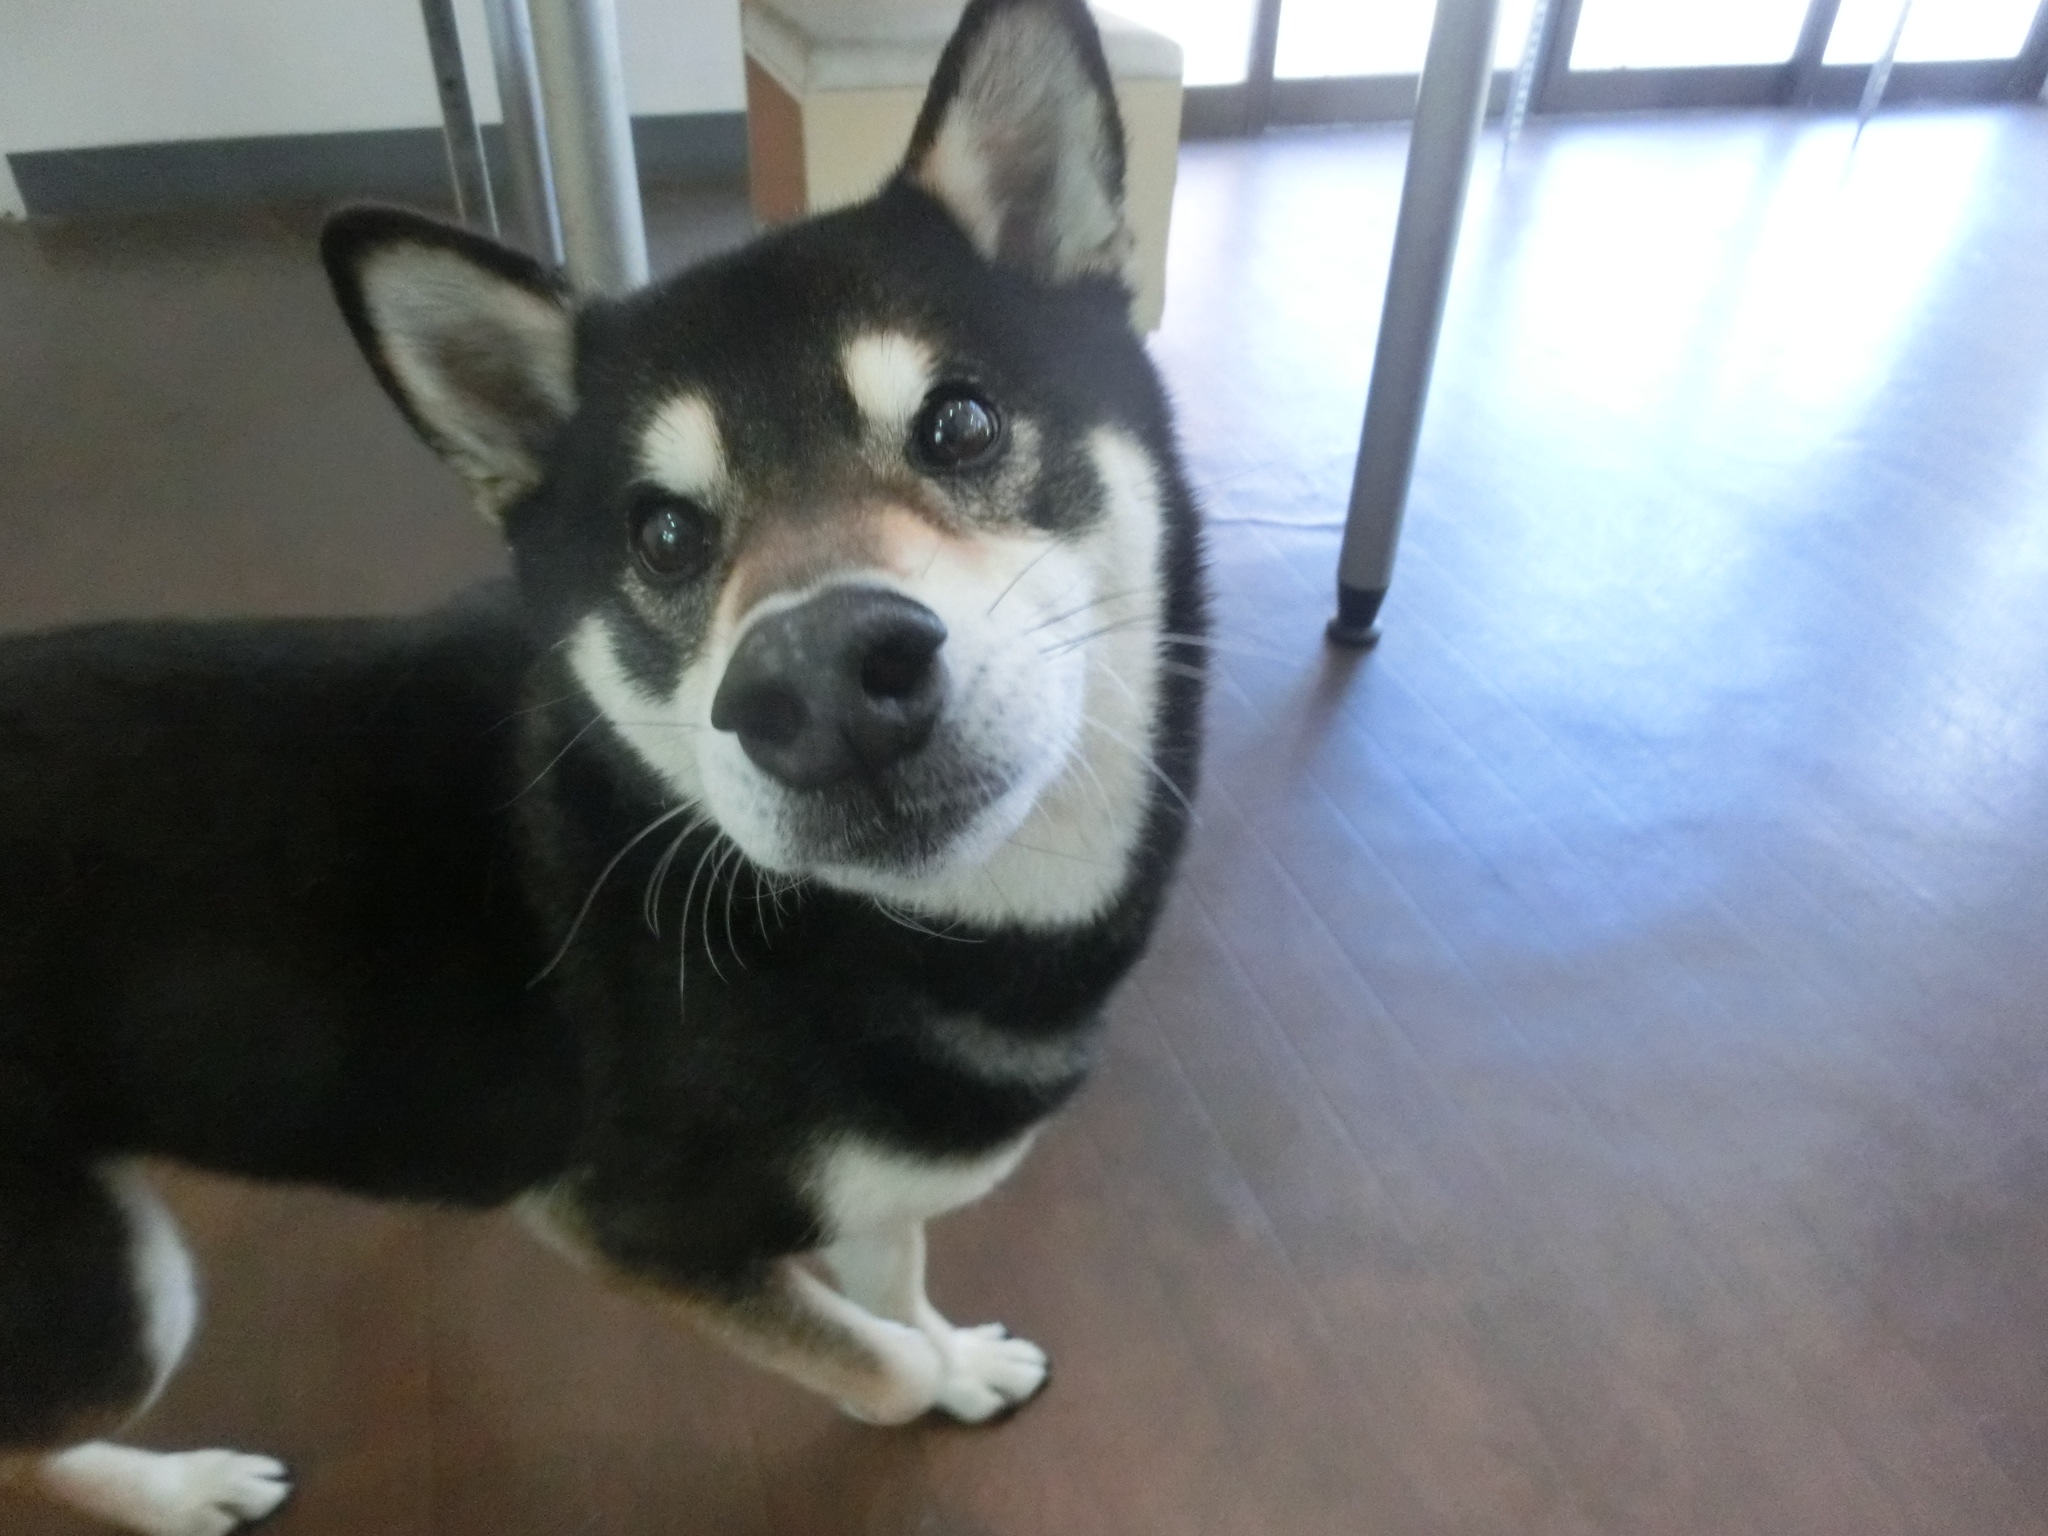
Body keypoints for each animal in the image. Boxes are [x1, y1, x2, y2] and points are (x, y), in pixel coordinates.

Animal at [0, 1, 1204, 1530]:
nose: (819, 682)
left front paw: (961, 1356)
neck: (907, 934)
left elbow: (897, 1274)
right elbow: (871, 1356)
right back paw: (178, 1489)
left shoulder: (870, 1180)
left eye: (962, 425)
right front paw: (925, 1380)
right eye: (665, 536)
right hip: (107, 1290)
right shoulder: (607, 1221)